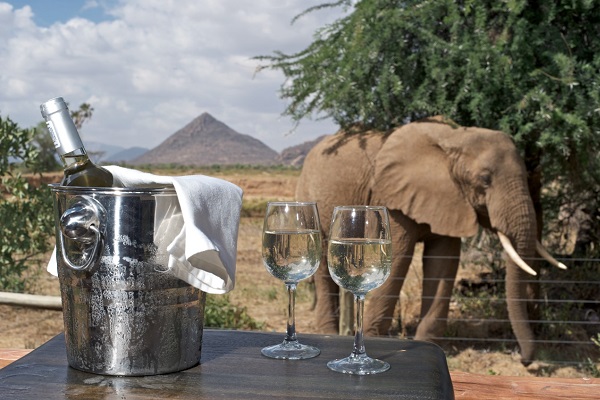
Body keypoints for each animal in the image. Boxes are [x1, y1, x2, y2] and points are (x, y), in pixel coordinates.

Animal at [295, 117, 566, 364]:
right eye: (485, 180)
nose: (524, 360)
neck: (454, 139)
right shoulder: (392, 199)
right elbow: (400, 259)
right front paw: (374, 339)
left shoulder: (452, 198)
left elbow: (443, 262)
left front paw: (428, 344)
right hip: (310, 193)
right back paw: (329, 334)